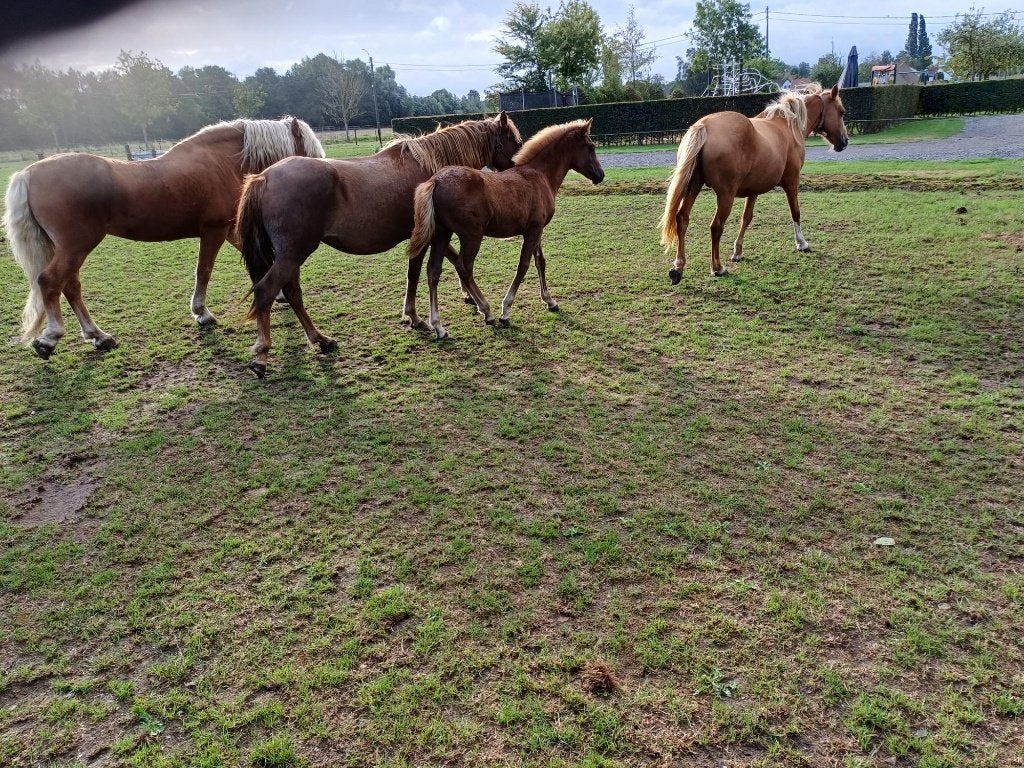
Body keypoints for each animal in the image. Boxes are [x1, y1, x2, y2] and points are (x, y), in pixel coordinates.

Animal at [4, 116, 325, 359]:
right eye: (308, 150)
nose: (322, 175)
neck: (221, 163)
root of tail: (28, 173)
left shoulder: (230, 229)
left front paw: (278, 294)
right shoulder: (214, 230)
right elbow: (204, 271)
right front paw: (202, 313)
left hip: (70, 248)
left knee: (69, 286)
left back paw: (99, 336)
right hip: (76, 246)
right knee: (50, 282)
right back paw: (51, 338)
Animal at [237, 111, 523, 378]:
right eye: (516, 142)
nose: (517, 173)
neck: (429, 168)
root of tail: (264, 177)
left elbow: (423, 270)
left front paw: (432, 310)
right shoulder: (426, 236)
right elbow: (420, 272)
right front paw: (422, 316)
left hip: (291, 256)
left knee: (293, 293)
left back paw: (321, 340)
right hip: (292, 254)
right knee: (266, 291)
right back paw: (262, 356)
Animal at [406, 118, 605, 339]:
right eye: (591, 147)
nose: (601, 175)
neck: (539, 175)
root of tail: (435, 181)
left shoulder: (536, 230)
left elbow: (540, 262)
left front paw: (550, 301)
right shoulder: (533, 231)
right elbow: (523, 266)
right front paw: (506, 311)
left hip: (442, 233)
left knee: (433, 271)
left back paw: (438, 326)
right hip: (471, 235)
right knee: (464, 267)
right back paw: (487, 312)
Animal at [659, 83, 849, 281]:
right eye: (841, 112)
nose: (844, 141)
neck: (788, 126)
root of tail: (704, 125)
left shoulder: (754, 190)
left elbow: (746, 218)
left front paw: (737, 252)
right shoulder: (792, 181)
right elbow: (795, 212)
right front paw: (801, 243)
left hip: (693, 186)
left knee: (682, 218)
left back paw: (678, 266)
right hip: (725, 195)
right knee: (716, 226)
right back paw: (717, 267)